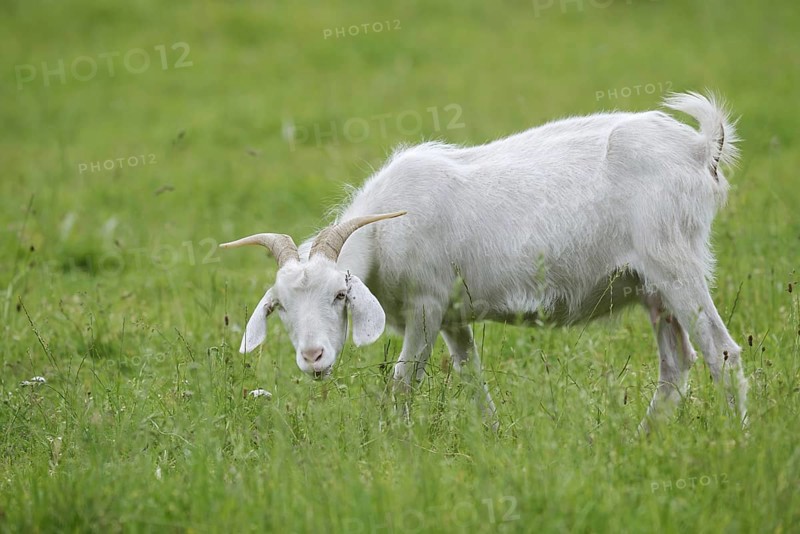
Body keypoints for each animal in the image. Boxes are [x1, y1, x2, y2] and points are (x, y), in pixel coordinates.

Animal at [221, 92, 748, 431]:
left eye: (339, 295)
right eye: (281, 307)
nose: (313, 357)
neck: (387, 229)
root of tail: (701, 148)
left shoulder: (428, 304)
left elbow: (402, 382)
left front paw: (393, 445)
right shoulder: (453, 316)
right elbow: (471, 376)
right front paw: (493, 435)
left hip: (674, 263)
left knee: (722, 352)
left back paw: (738, 440)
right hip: (651, 285)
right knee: (676, 364)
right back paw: (642, 439)